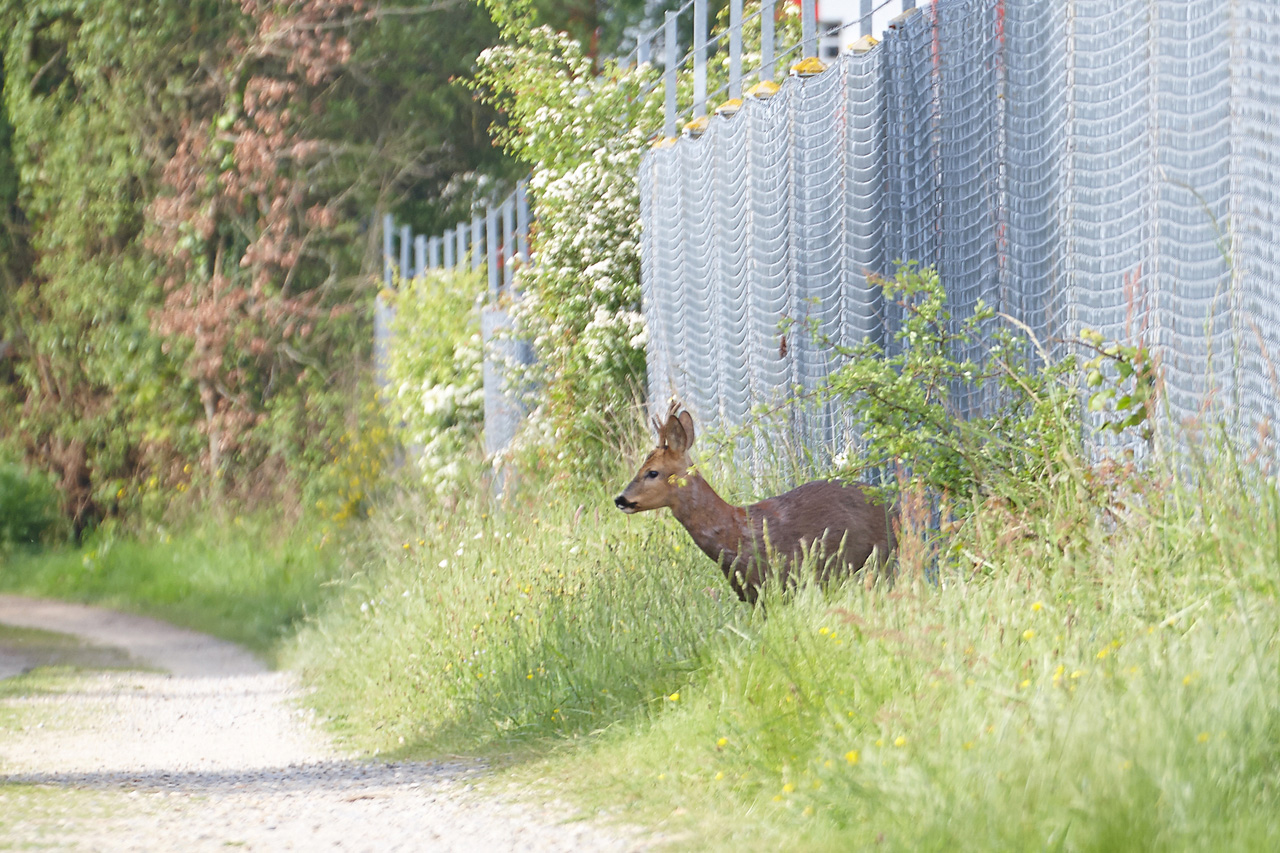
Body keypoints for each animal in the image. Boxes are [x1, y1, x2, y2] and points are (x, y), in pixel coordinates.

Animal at [614, 402, 896, 601]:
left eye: (652, 472)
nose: (620, 499)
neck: (734, 532)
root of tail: (892, 504)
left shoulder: (783, 581)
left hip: (882, 557)